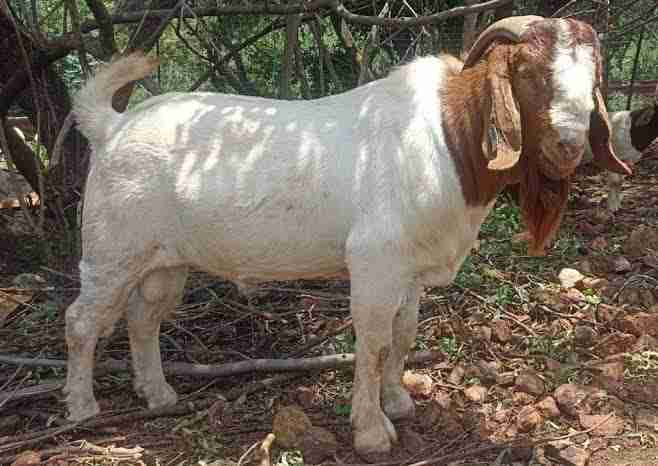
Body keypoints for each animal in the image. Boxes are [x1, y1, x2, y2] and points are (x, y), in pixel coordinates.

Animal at [65, 16, 629, 457]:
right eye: (528, 71)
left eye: (594, 77)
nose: (568, 145)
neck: (450, 139)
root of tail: (111, 127)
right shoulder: (374, 262)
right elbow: (374, 343)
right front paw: (372, 432)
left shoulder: (409, 268)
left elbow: (404, 333)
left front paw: (398, 402)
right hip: (111, 249)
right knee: (81, 320)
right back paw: (82, 407)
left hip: (164, 259)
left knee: (143, 316)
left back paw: (158, 394)